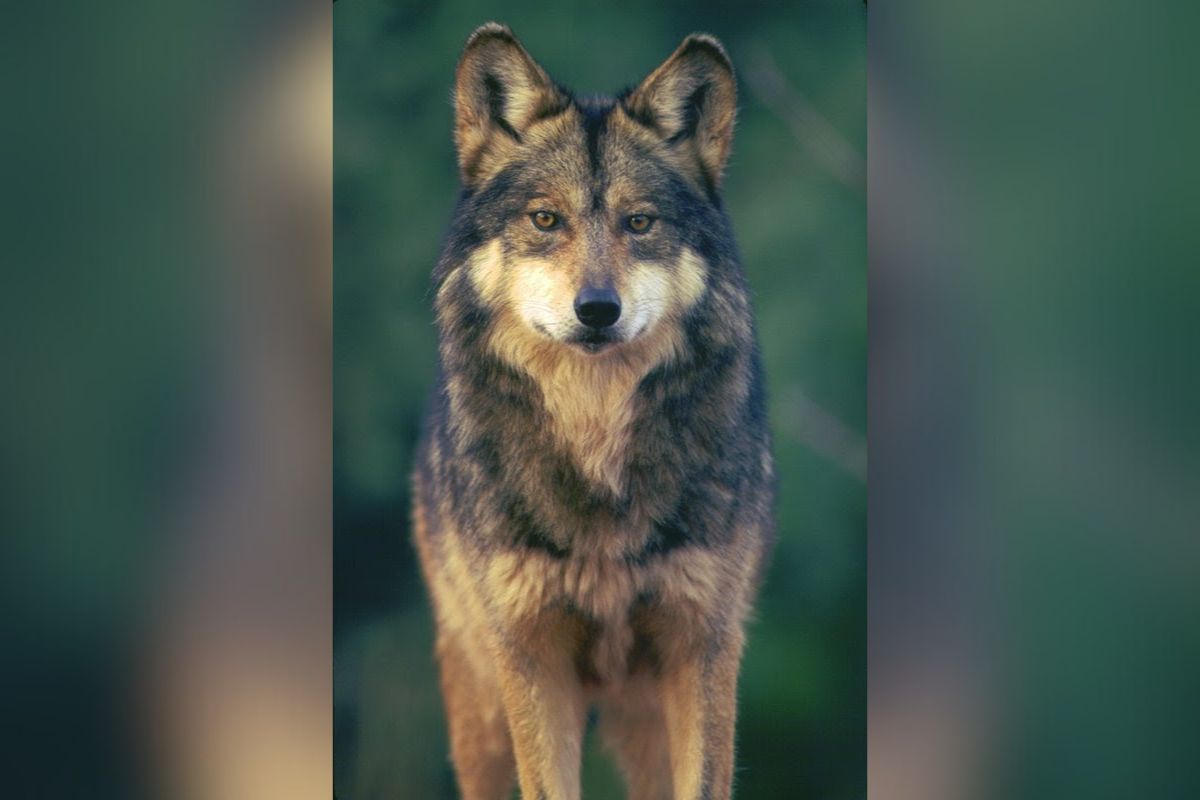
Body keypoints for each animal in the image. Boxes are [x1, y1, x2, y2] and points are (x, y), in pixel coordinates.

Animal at [412, 23, 775, 800]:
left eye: (639, 223)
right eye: (546, 219)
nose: (597, 310)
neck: (597, 440)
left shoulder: (702, 644)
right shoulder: (529, 653)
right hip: (478, 700)